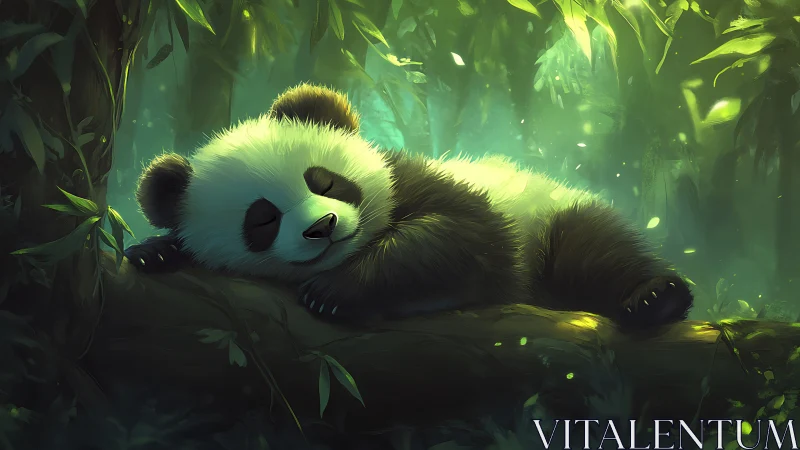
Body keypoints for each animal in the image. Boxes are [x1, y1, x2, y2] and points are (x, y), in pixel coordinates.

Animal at [125, 83, 693, 330]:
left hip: (546, 211)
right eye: (262, 218)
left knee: (594, 249)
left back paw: (655, 298)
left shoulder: (414, 180)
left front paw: (335, 293)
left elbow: (462, 233)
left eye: (325, 181)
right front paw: (156, 252)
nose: (324, 226)